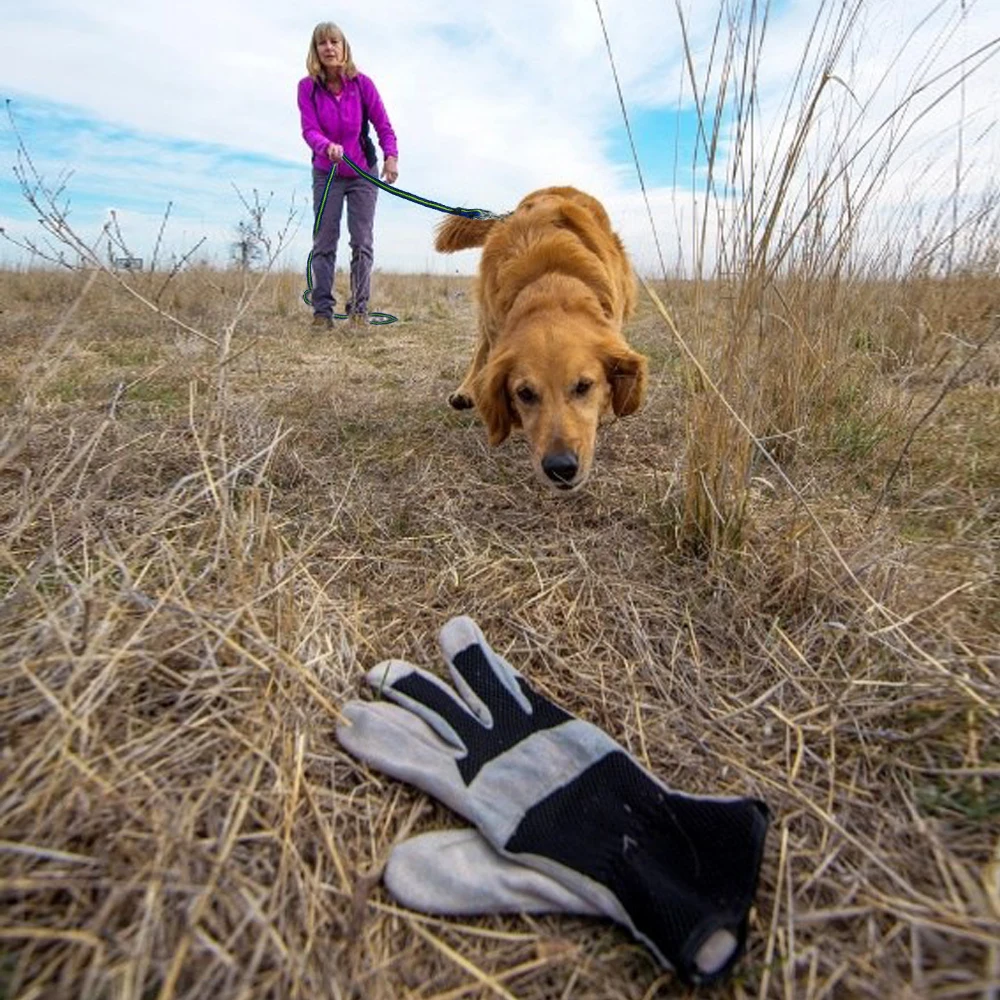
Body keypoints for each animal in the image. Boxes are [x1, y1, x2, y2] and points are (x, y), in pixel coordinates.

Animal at [438, 187, 648, 492]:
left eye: (584, 386)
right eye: (524, 393)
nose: (560, 468)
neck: (552, 283)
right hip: (487, 317)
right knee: (481, 347)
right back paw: (466, 390)